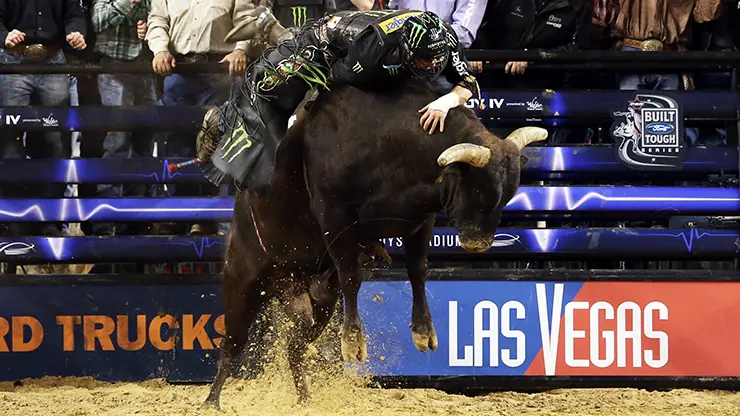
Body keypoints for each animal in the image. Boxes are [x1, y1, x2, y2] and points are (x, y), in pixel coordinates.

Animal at [201, 81, 547, 409]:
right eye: (477, 190)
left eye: (509, 193)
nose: (479, 243)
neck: (387, 139)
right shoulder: (334, 215)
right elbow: (351, 275)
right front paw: (354, 342)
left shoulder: (421, 219)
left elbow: (418, 270)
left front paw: (423, 331)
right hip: (242, 282)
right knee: (231, 346)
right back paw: (211, 401)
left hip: (311, 303)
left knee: (295, 346)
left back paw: (304, 399)